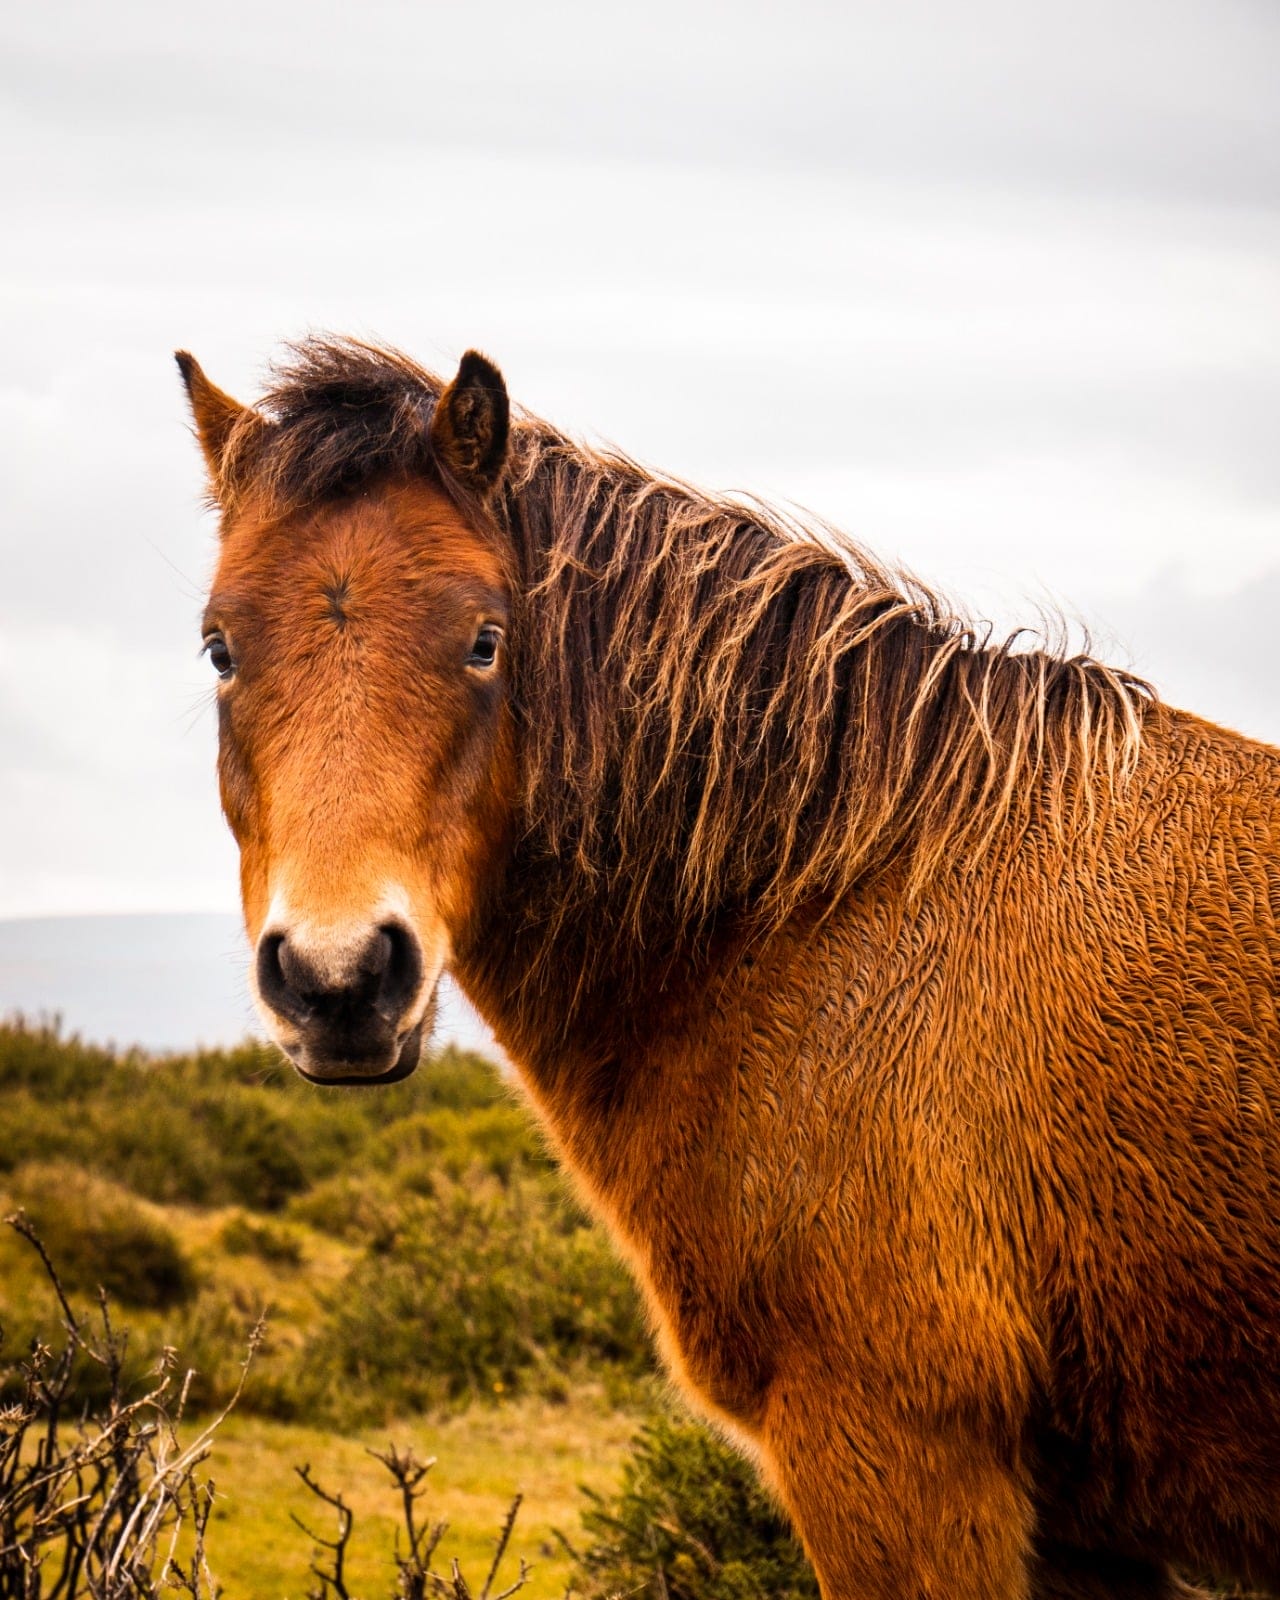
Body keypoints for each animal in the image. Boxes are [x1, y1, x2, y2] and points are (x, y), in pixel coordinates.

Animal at [177, 340, 1280, 1600]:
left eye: (483, 640)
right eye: (219, 647)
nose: (340, 978)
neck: (829, 912)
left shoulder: (897, 1463)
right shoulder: (1081, 1529)